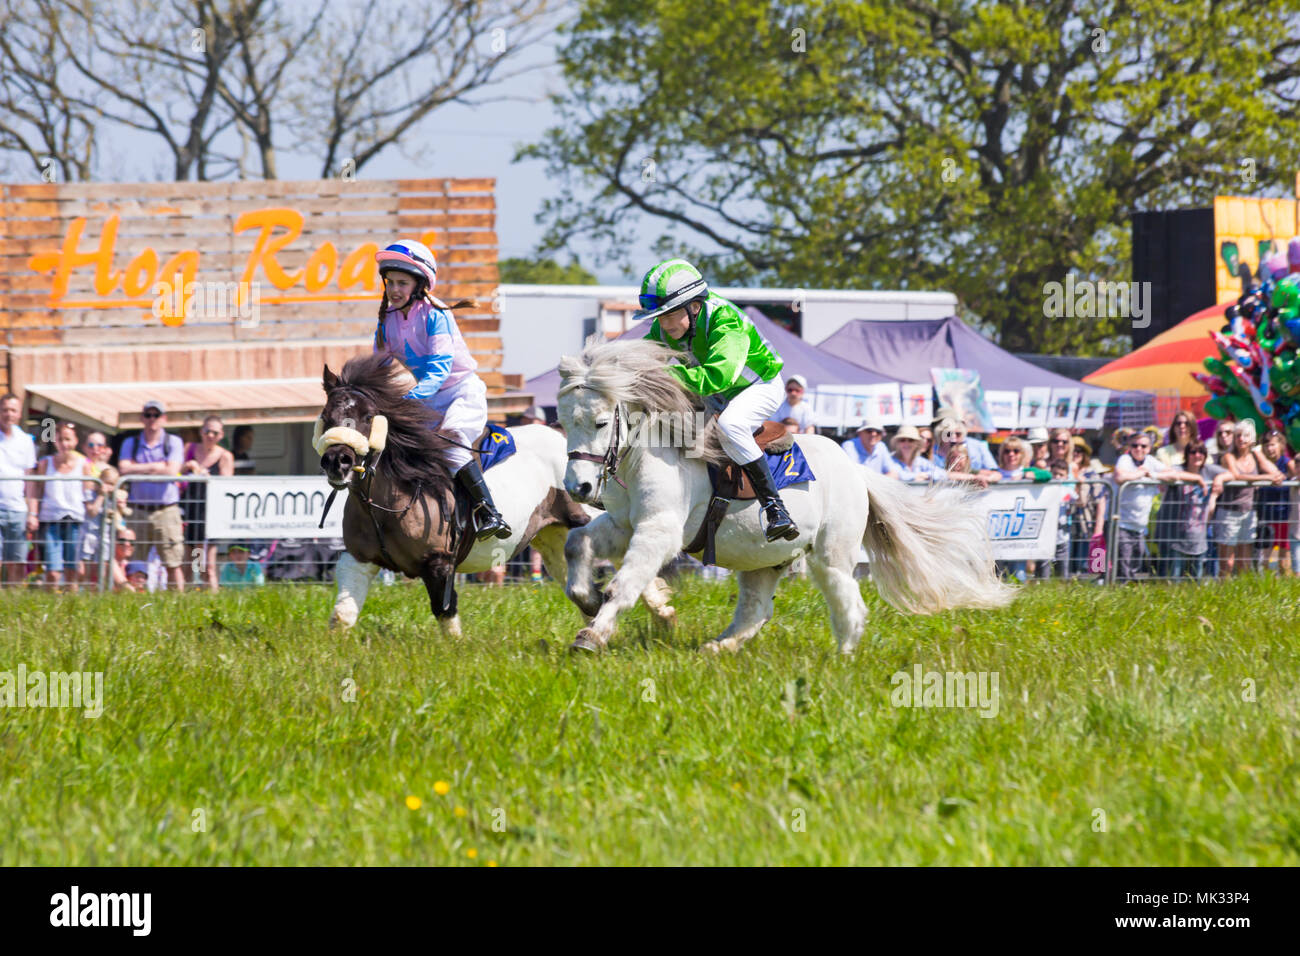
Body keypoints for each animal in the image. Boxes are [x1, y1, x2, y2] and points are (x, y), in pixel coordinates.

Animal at [556, 340, 1013, 655]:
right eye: (562, 420)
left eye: (601, 422)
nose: (579, 488)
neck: (652, 451)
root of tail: (856, 470)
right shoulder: (623, 525)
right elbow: (576, 543)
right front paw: (588, 597)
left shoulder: (659, 531)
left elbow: (624, 584)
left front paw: (592, 635)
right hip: (761, 560)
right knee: (756, 608)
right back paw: (719, 647)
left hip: (830, 556)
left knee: (848, 602)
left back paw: (843, 656)